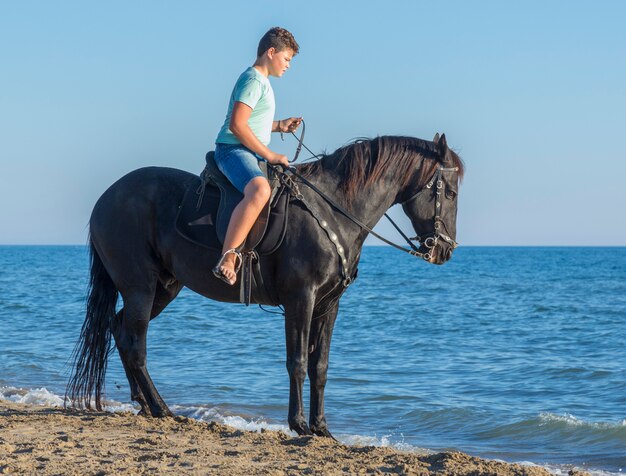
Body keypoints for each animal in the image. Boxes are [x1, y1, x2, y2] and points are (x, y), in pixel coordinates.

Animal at [66, 132, 460, 436]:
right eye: (452, 192)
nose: (444, 250)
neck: (334, 210)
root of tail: (106, 199)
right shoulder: (301, 298)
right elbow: (297, 361)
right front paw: (299, 424)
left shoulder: (329, 304)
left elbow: (320, 366)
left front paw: (322, 428)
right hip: (141, 287)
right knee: (136, 344)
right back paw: (161, 408)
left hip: (164, 288)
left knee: (121, 330)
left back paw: (145, 405)